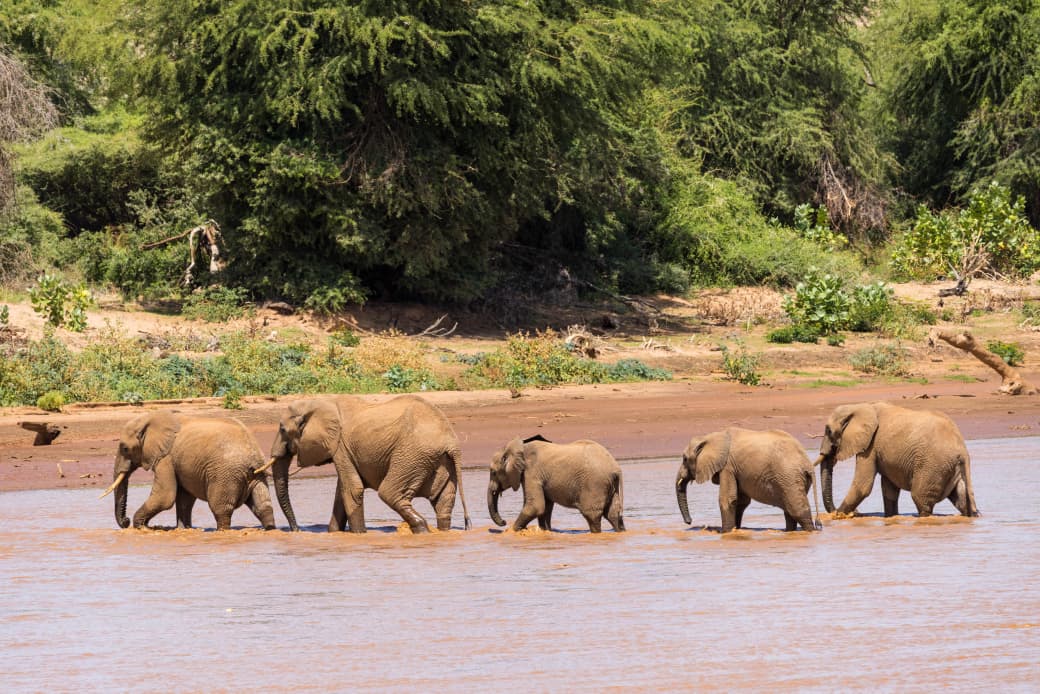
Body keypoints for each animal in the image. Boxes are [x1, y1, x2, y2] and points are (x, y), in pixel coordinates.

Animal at [101, 411, 276, 531]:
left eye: (124, 448)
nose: (126, 521)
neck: (151, 418)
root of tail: (253, 455)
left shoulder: (166, 458)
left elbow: (165, 497)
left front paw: (140, 527)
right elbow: (184, 498)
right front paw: (183, 529)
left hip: (225, 475)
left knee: (221, 509)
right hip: (254, 475)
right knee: (263, 506)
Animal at [264, 395, 471, 533]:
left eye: (282, 429)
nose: (296, 530)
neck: (319, 402)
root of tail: (451, 441)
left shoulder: (340, 446)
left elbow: (351, 490)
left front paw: (359, 535)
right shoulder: (343, 450)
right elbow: (341, 493)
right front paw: (334, 534)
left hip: (412, 456)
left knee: (390, 493)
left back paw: (422, 529)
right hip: (440, 461)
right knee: (443, 503)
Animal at [487, 435, 625, 533]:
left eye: (493, 472)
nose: (504, 521)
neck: (518, 447)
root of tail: (616, 468)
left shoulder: (531, 473)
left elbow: (535, 506)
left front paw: (510, 532)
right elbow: (545, 508)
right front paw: (545, 531)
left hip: (595, 484)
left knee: (592, 515)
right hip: (609, 486)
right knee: (613, 514)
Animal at [676, 427, 819, 532]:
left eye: (684, 459)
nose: (689, 521)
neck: (711, 436)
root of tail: (808, 464)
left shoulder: (727, 466)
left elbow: (728, 499)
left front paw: (725, 532)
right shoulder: (736, 470)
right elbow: (740, 501)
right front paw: (735, 529)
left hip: (789, 477)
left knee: (797, 511)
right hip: (791, 480)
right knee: (789, 512)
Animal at [817, 402, 978, 517]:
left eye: (828, 431)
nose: (857, 513)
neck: (859, 406)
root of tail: (963, 450)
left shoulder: (870, 445)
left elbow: (863, 486)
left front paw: (839, 516)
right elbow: (889, 488)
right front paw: (891, 517)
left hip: (933, 465)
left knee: (920, 499)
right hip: (948, 467)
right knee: (961, 500)